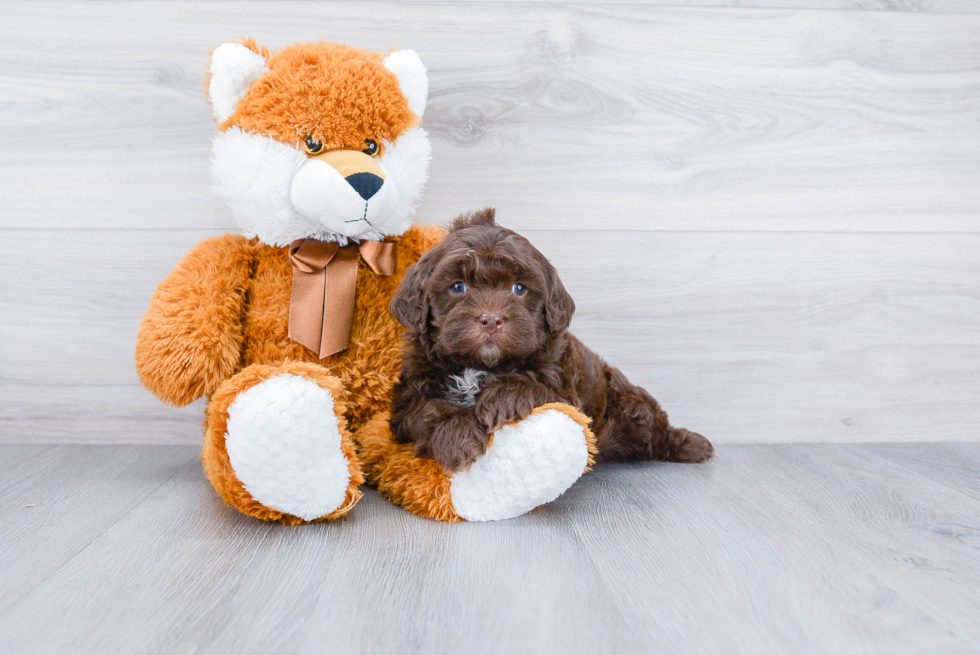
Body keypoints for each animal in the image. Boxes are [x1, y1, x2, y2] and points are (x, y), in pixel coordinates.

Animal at [386, 213, 716, 474]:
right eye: (457, 287)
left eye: (519, 289)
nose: (491, 319)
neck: (480, 365)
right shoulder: (406, 404)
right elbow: (426, 410)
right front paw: (458, 436)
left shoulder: (567, 391)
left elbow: (540, 389)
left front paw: (504, 395)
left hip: (628, 406)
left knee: (653, 429)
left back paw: (692, 444)